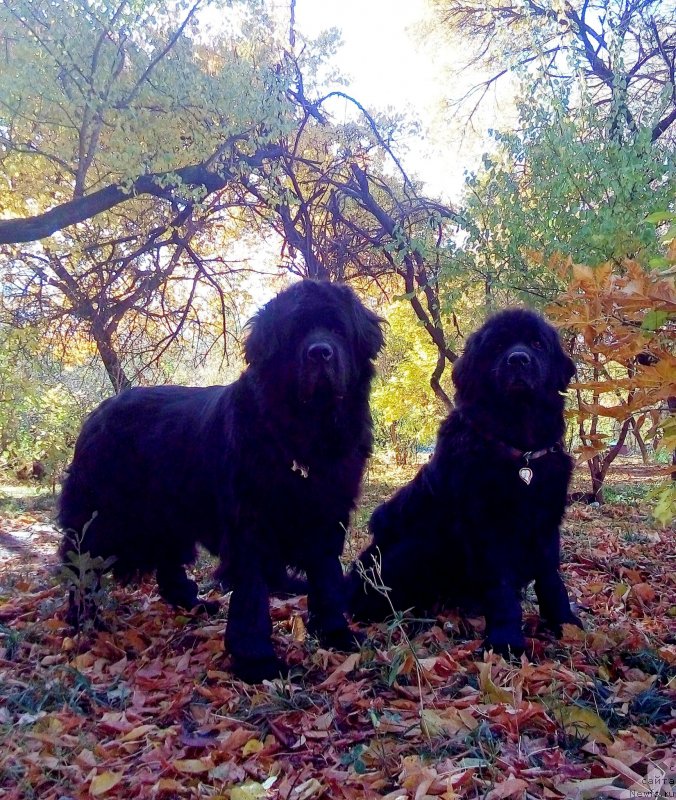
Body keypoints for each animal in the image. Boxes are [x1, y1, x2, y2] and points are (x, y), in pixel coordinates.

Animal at [58, 282, 382, 680]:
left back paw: (194, 603)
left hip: (169, 514)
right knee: (80, 563)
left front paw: (336, 633)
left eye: (338, 330)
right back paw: (82, 619)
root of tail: (97, 413)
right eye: (295, 332)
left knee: (167, 564)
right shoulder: (249, 523)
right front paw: (257, 659)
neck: (303, 436)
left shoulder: (327, 515)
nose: (320, 353)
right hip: (105, 516)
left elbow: (326, 577)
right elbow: (252, 593)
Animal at [348, 310, 580, 652]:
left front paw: (565, 622)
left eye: (538, 343)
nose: (518, 359)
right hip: (417, 546)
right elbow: (501, 587)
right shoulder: (486, 529)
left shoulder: (546, 524)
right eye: (497, 346)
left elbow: (551, 578)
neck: (519, 450)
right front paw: (506, 638)